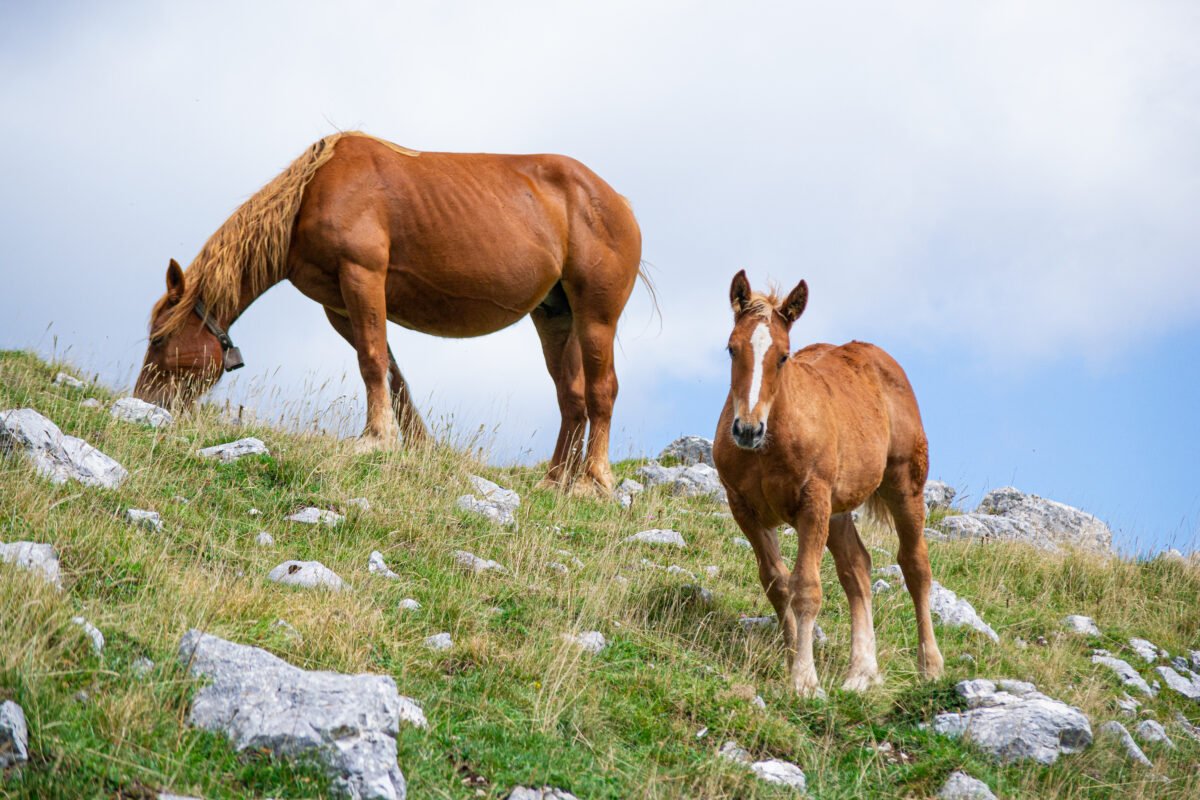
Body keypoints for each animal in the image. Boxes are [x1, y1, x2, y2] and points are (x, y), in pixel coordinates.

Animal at [133, 132, 646, 493]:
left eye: (158, 340)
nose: (140, 403)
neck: (310, 194)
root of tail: (618, 202)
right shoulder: (339, 305)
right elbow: (391, 372)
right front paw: (415, 444)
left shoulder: (362, 276)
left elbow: (372, 361)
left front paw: (376, 438)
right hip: (555, 315)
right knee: (571, 396)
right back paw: (554, 480)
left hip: (596, 315)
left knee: (602, 390)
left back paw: (593, 482)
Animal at [711, 270, 943, 697]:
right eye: (732, 349)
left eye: (783, 355)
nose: (748, 430)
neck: (771, 443)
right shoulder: (743, 508)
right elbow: (776, 583)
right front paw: (793, 663)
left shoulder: (812, 503)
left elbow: (806, 588)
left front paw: (805, 679)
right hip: (837, 511)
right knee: (858, 568)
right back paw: (861, 672)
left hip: (904, 485)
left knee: (915, 565)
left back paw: (930, 666)